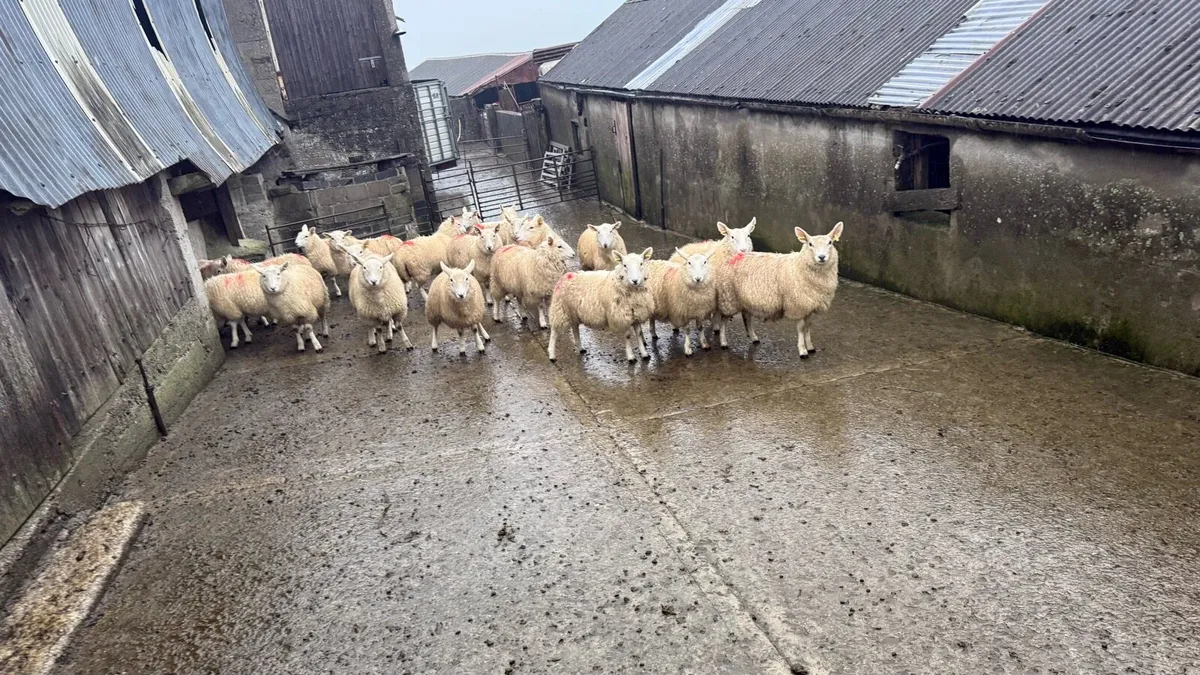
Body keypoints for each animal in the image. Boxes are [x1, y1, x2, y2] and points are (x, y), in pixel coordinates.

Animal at [716, 222, 843, 357]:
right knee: (724, 320)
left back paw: (753, 337)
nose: (822, 257)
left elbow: (808, 326)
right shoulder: (797, 305)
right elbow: (801, 328)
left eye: (830, 242)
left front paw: (810, 346)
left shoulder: (808, 306)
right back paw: (723, 342)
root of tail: (733, 256)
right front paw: (802, 350)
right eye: (810, 244)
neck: (800, 266)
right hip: (729, 297)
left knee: (747, 318)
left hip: (744, 299)